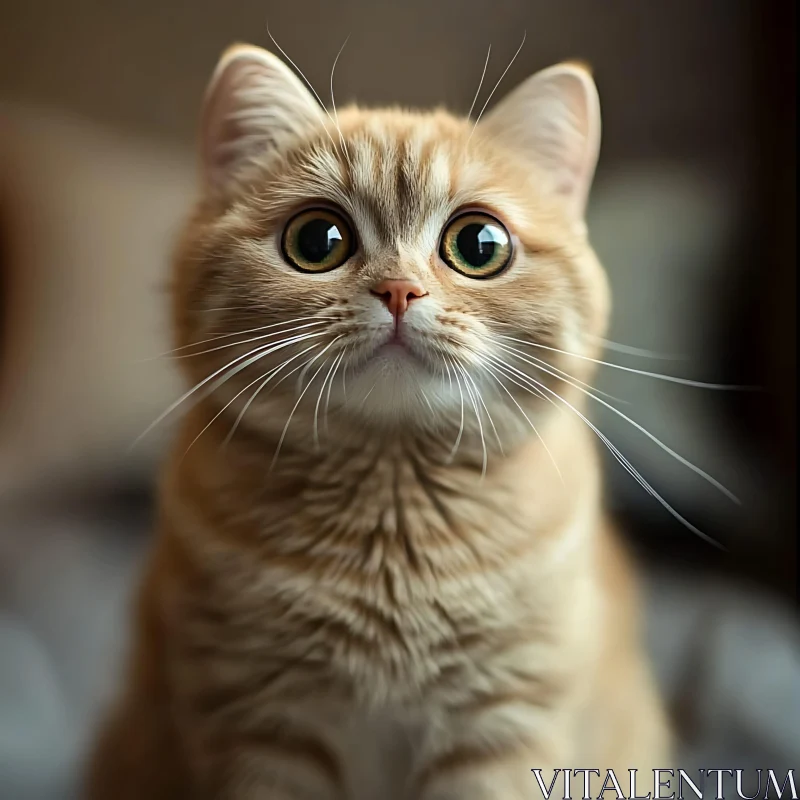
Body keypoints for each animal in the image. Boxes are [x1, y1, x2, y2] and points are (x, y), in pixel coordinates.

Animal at [84, 43, 672, 800]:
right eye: (318, 239)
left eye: (479, 244)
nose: (399, 290)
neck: (392, 511)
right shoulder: (259, 729)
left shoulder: (500, 730)